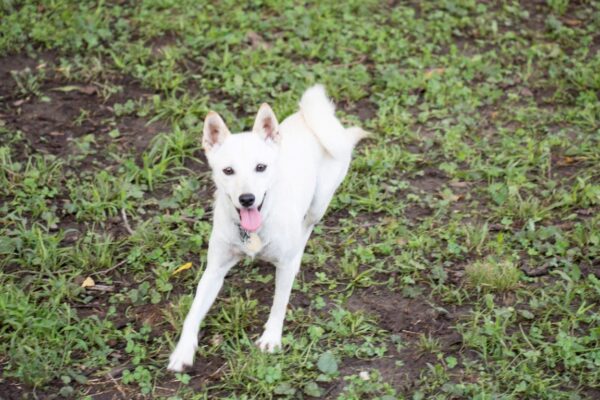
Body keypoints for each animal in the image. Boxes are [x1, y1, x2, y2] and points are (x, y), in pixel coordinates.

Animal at [166, 84, 368, 372]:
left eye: (260, 167)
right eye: (228, 171)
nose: (247, 199)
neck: (254, 227)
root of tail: (312, 119)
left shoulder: (282, 268)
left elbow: (279, 304)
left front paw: (271, 338)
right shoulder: (213, 271)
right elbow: (193, 312)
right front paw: (183, 351)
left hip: (318, 204)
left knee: (305, 229)